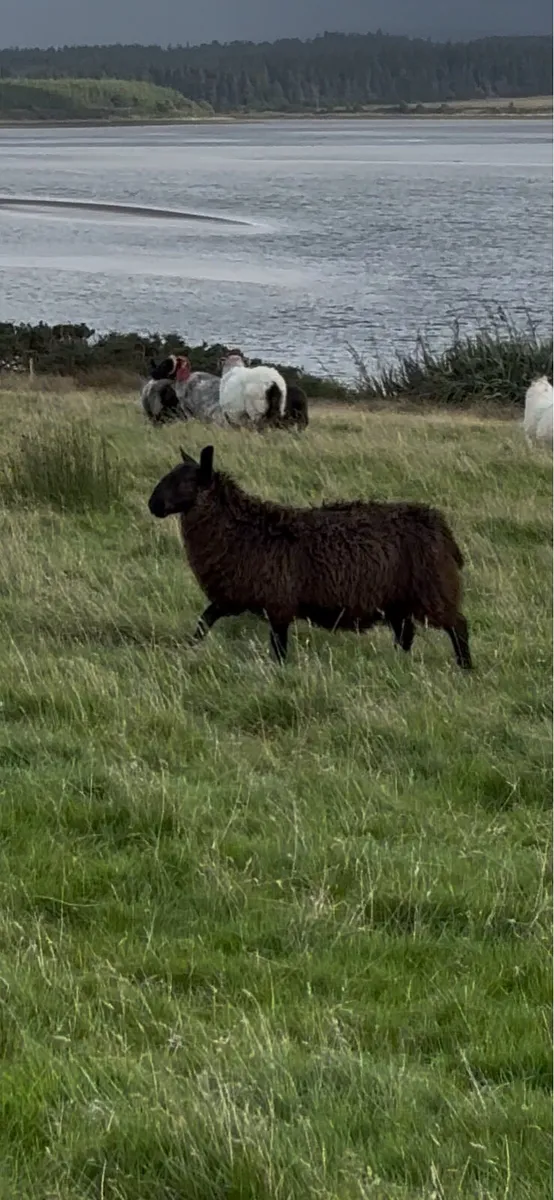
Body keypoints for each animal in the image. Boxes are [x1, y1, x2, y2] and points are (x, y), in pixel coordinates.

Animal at [147, 445, 472, 670]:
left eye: (184, 482)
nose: (152, 505)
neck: (242, 529)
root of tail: (439, 525)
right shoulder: (233, 598)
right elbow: (204, 621)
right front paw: (189, 649)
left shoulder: (277, 603)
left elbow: (278, 646)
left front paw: (278, 671)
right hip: (398, 600)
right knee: (406, 634)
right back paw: (397, 666)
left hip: (433, 588)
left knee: (458, 627)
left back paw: (465, 668)